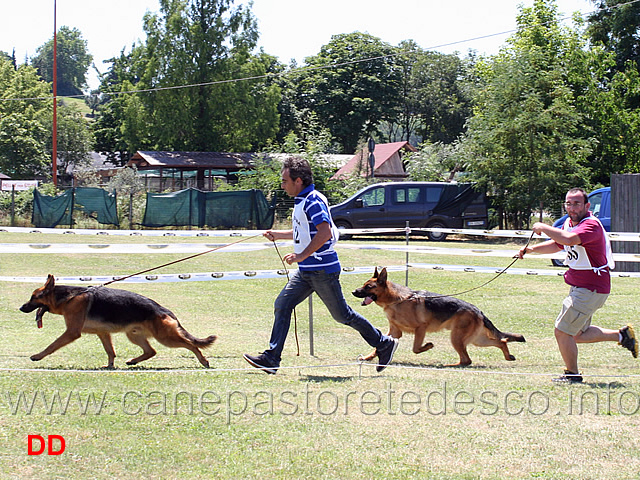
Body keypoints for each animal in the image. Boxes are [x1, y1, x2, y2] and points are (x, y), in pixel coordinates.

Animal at [19, 274, 218, 368]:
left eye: (33, 297)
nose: (21, 308)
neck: (68, 297)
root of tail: (164, 310)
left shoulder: (72, 332)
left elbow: (52, 345)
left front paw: (38, 356)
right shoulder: (103, 333)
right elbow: (111, 351)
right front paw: (110, 366)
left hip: (165, 338)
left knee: (191, 345)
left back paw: (203, 360)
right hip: (134, 335)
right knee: (151, 351)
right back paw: (133, 362)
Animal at [350, 268, 524, 366]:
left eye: (368, 287)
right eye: (363, 285)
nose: (353, 291)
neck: (396, 299)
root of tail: (478, 310)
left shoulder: (421, 328)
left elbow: (415, 348)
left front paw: (428, 346)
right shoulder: (395, 332)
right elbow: (378, 345)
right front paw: (368, 357)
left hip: (457, 338)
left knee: (466, 360)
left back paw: (449, 365)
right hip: (477, 339)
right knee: (501, 341)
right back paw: (508, 356)